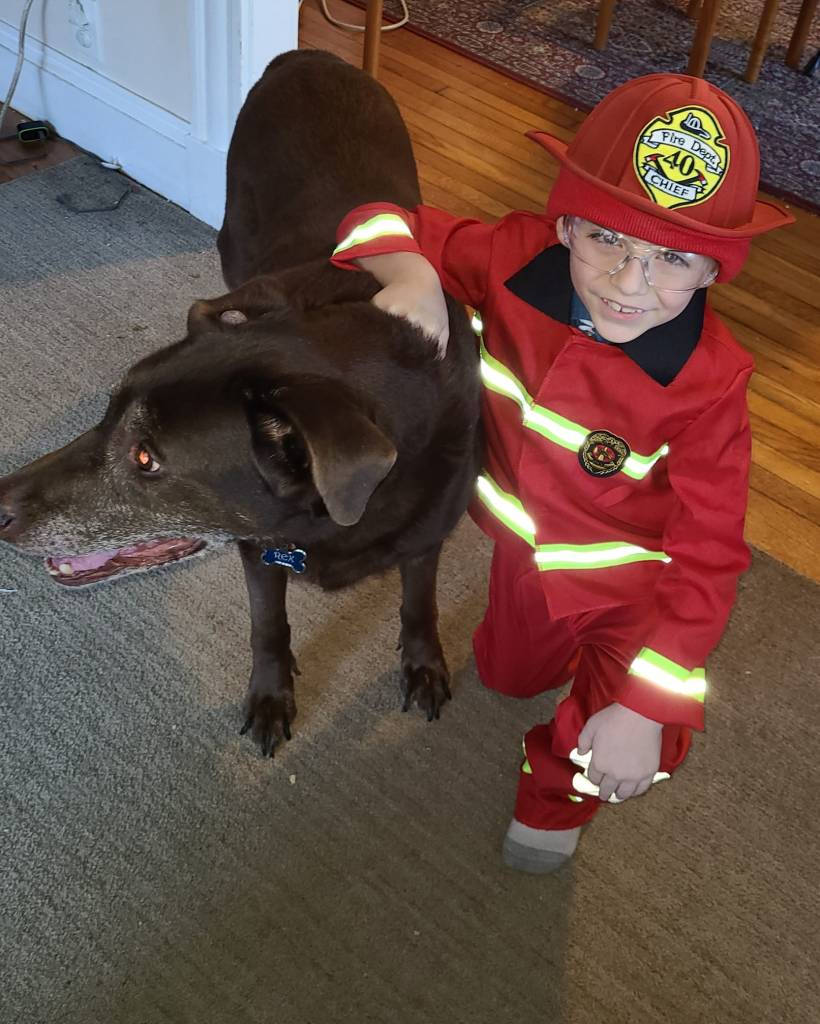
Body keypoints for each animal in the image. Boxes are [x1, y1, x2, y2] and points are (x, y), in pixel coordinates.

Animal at [0, 50, 481, 755]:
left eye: (146, 459)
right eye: (107, 414)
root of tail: (307, 55)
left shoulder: (427, 534)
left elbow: (420, 601)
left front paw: (423, 664)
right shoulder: (259, 550)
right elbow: (267, 624)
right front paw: (271, 696)